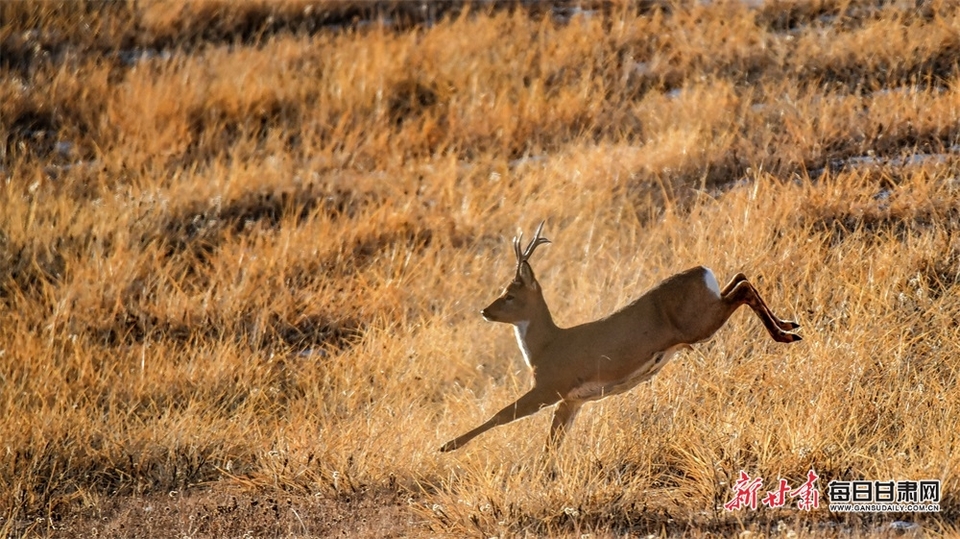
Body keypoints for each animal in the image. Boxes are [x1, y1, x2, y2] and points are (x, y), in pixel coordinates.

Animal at [438, 221, 800, 454]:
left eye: (509, 295)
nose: (485, 311)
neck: (544, 347)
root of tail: (701, 270)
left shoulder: (550, 386)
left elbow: (501, 415)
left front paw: (447, 445)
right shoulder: (572, 400)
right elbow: (552, 443)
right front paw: (546, 476)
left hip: (699, 323)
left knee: (742, 289)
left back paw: (784, 335)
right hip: (706, 310)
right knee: (740, 278)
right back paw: (791, 326)